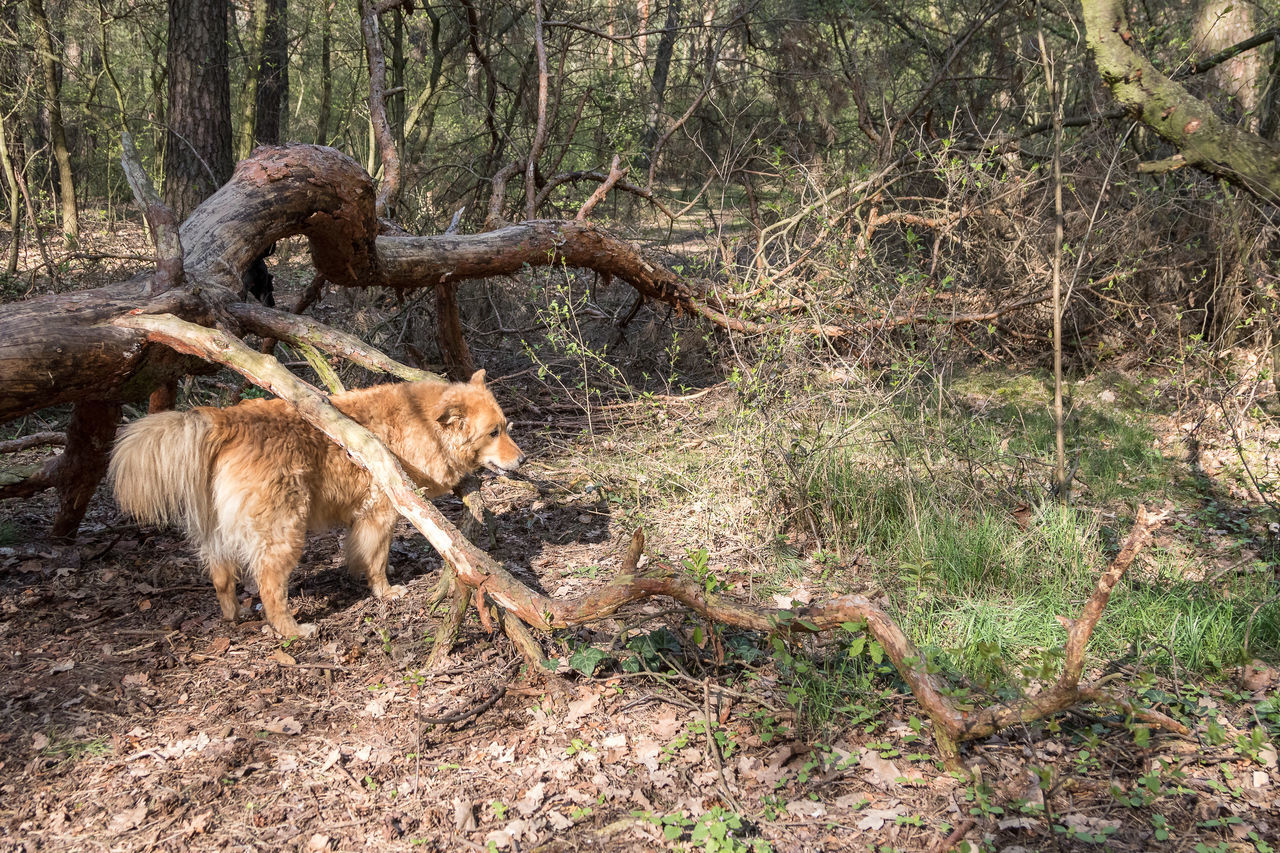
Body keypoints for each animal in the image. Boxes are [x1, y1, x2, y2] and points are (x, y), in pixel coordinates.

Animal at [107, 368, 522, 635]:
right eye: (493, 432)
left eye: (506, 427)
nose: (521, 460)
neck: (421, 425)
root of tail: (228, 421)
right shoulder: (381, 513)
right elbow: (376, 559)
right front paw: (385, 591)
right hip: (285, 531)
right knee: (269, 588)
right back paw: (292, 630)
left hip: (218, 533)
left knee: (222, 576)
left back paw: (233, 616)